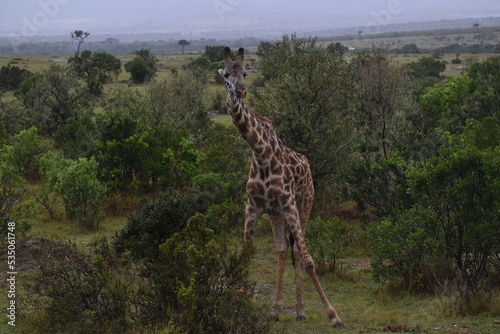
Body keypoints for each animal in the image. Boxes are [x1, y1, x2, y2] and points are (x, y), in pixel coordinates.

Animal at [219, 47, 344, 328]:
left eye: (245, 73)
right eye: (225, 75)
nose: (240, 90)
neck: (260, 153)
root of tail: (307, 163)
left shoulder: (289, 206)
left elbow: (308, 261)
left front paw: (334, 315)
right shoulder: (253, 208)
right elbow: (244, 257)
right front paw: (237, 304)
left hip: (304, 205)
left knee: (297, 252)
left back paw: (300, 311)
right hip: (276, 216)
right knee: (282, 251)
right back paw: (277, 311)